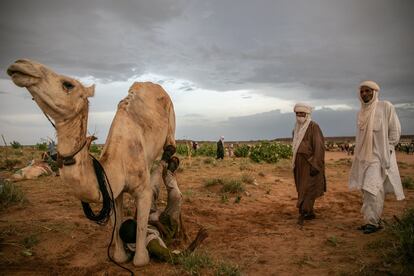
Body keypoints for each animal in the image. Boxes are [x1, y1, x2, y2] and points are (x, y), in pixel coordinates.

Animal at [6, 58, 176, 268]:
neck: (117, 163)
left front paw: (142, 253)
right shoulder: (113, 191)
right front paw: (121, 254)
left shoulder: (142, 190)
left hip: (171, 118)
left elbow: (139, 258)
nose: (20, 64)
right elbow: (117, 232)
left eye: (68, 84)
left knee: (169, 150)